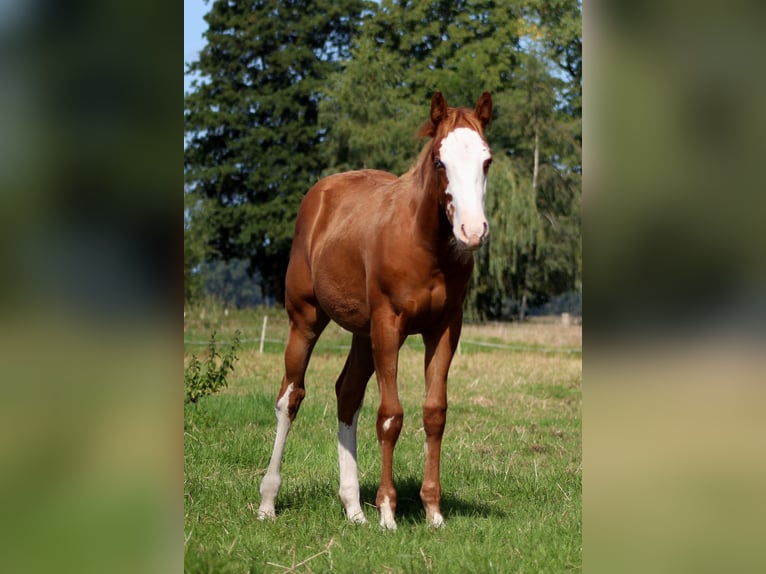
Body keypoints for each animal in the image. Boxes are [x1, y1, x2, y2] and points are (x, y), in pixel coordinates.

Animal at [257, 91, 493, 529]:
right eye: (440, 161)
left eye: (486, 160)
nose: (472, 232)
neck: (425, 245)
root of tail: (321, 193)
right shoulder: (389, 325)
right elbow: (390, 415)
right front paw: (387, 512)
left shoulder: (445, 329)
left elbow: (434, 413)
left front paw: (434, 512)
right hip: (306, 319)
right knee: (290, 397)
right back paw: (268, 502)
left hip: (362, 333)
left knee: (347, 395)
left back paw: (352, 508)